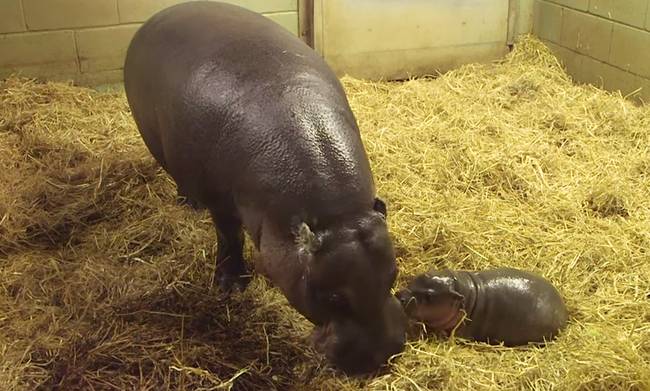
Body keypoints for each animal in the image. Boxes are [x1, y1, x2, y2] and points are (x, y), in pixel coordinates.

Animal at [123, 0, 402, 374]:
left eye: (393, 275)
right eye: (332, 296)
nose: (381, 355)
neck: (336, 216)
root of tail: (161, 14)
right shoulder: (221, 201)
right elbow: (229, 236)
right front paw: (230, 286)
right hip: (155, 139)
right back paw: (188, 202)